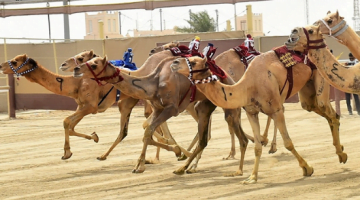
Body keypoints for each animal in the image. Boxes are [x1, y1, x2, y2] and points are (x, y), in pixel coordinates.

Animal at [73, 54, 250, 175]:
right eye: (89, 61)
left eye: (94, 64)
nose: (76, 69)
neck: (154, 82)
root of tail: (228, 76)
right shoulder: (158, 108)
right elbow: (147, 130)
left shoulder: (171, 108)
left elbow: (149, 130)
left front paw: (140, 166)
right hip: (204, 104)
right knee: (204, 136)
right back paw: (189, 166)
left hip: (222, 103)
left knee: (230, 128)